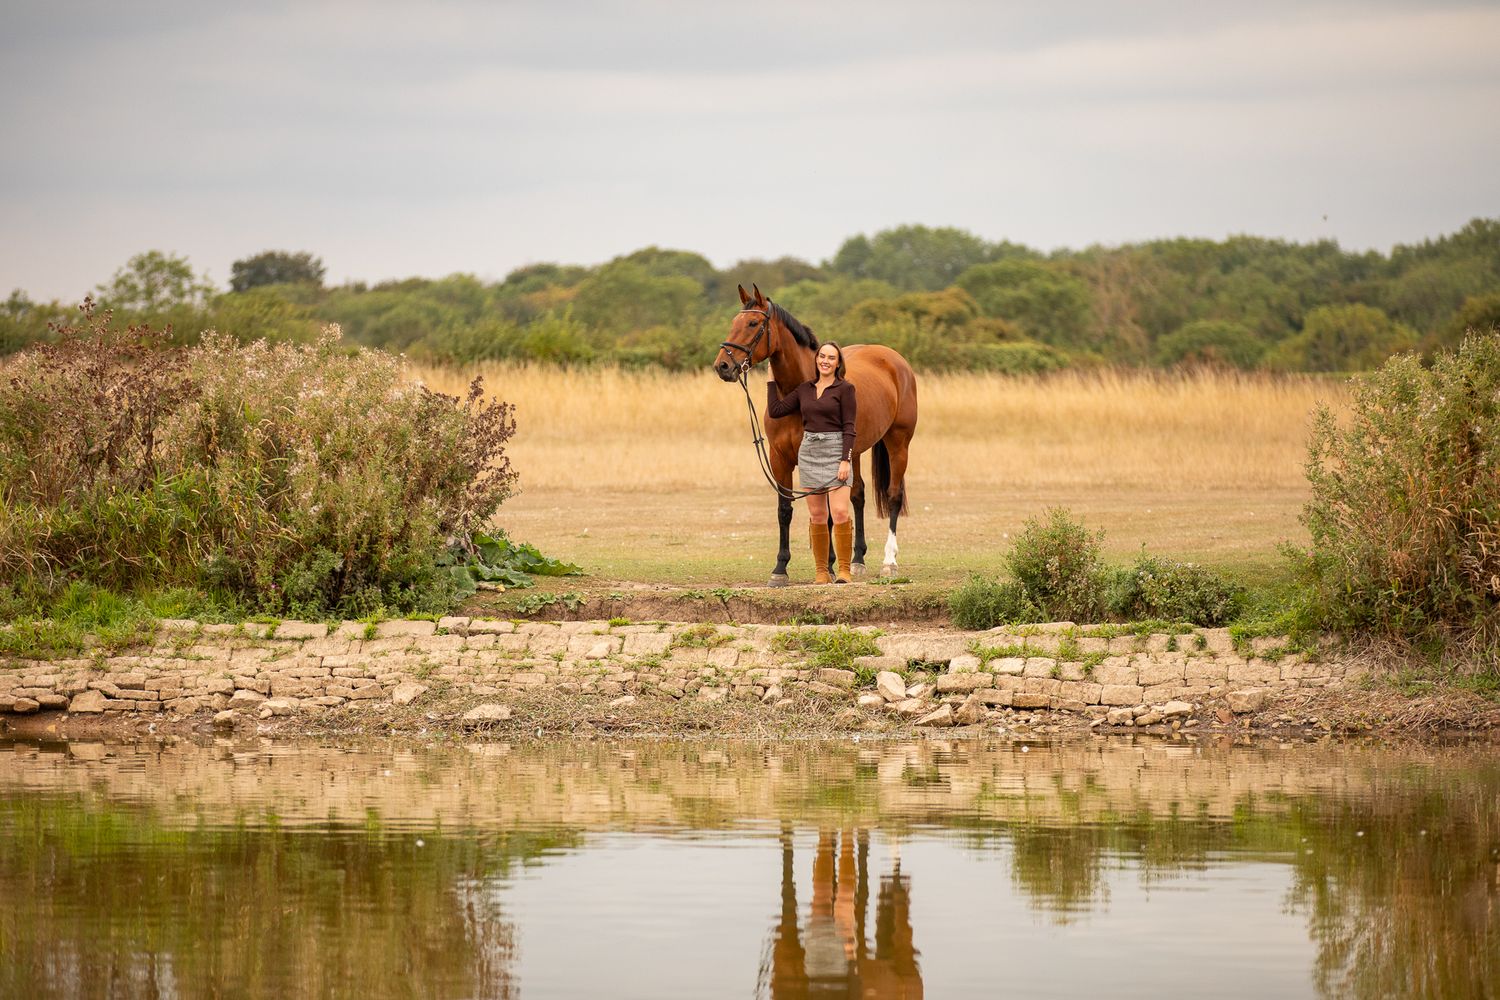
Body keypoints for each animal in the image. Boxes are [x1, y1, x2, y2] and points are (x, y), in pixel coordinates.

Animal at [714, 283, 917, 587]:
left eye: (752, 324)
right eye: (733, 323)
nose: (722, 367)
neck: (797, 392)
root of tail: (894, 360)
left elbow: (829, 513)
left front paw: (830, 566)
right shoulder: (780, 459)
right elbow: (785, 510)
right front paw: (780, 568)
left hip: (898, 442)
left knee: (893, 495)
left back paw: (889, 562)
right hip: (855, 452)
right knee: (857, 496)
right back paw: (857, 560)